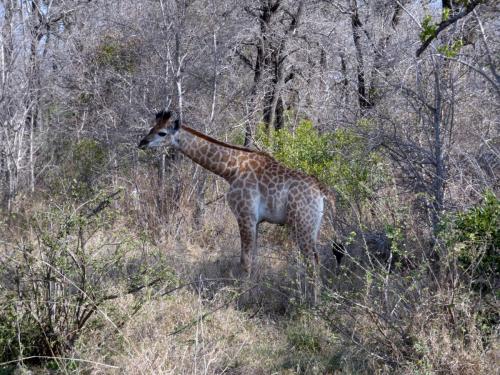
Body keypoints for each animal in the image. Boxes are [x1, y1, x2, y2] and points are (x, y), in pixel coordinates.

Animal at [139, 111, 338, 302]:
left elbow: (245, 260)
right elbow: (253, 259)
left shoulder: (245, 215)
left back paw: (313, 304)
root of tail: (322, 191)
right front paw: (253, 294)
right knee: (315, 259)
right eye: (152, 127)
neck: (231, 169)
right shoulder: (256, 221)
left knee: (312, 260)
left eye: (162, 132)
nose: (142, 143)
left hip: (302, 224)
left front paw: (242, 298)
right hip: (312, 226)